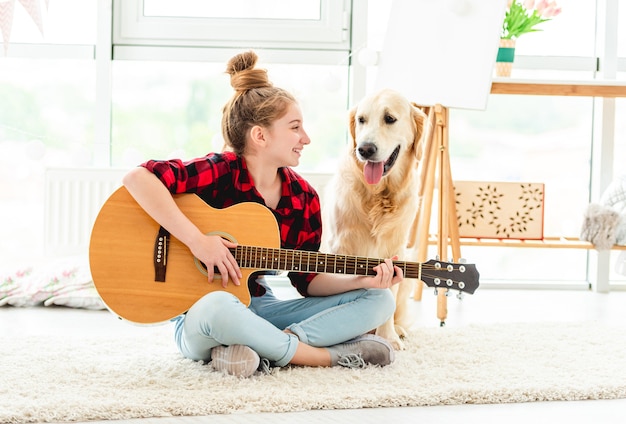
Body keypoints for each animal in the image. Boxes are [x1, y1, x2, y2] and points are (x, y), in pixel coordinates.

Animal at [322, 88, 428, 350]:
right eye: (361, 120)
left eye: (389, 118)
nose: (365, 149)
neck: (379, 195)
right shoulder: (340, 247)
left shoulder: (395, 251)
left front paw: (388, 337)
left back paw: (398, 330)